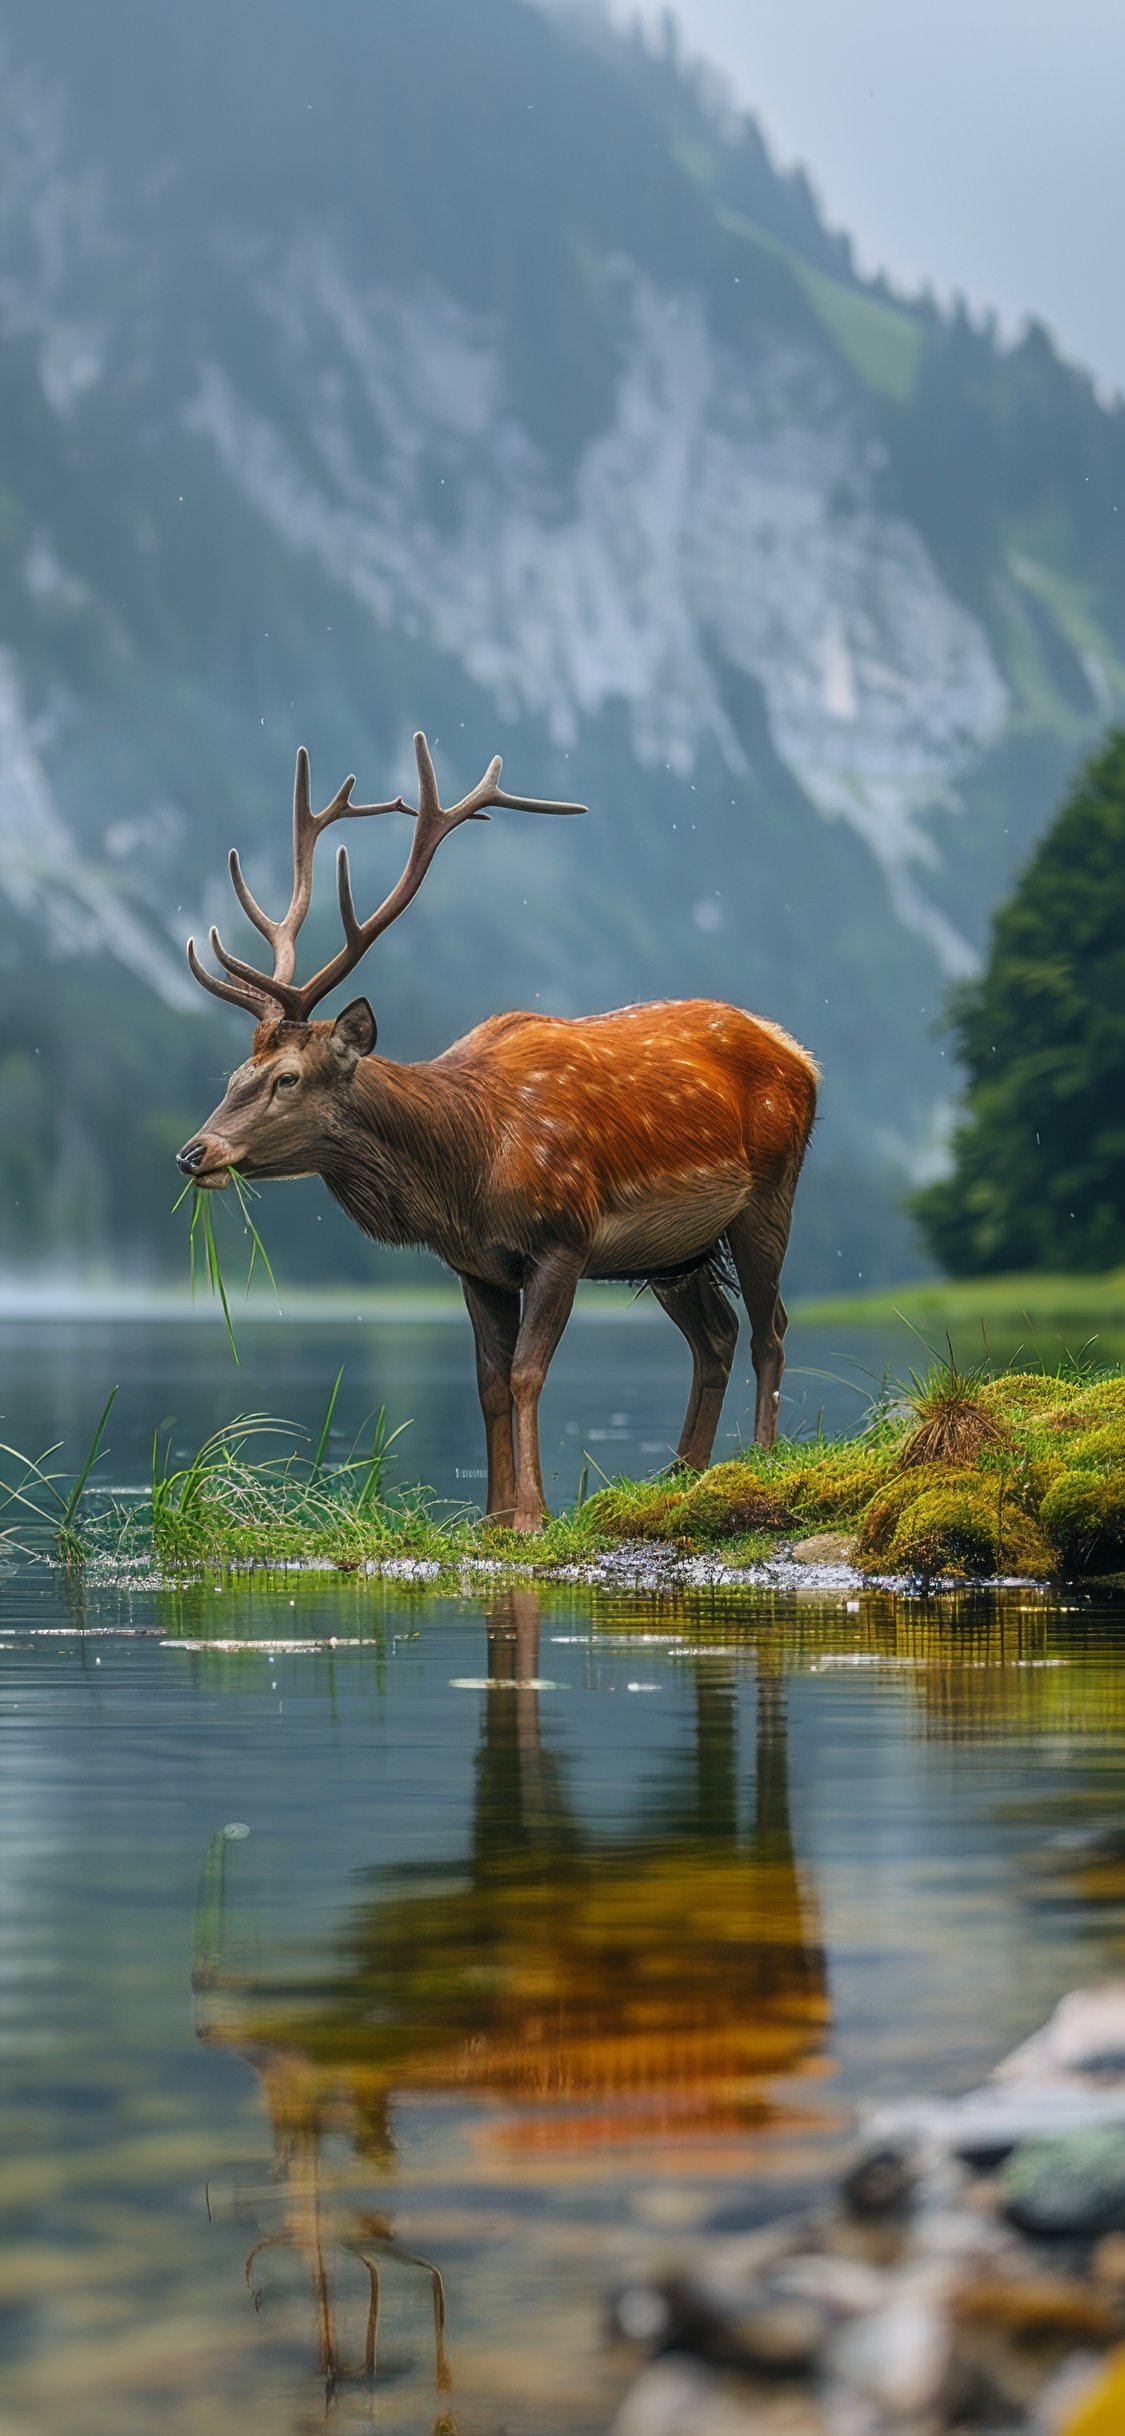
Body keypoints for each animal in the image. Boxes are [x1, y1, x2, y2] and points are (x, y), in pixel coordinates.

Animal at [177, 732, 818, 1531]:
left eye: (287, 1078)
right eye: (235, 1073)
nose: (194, 1152)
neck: (467, 1169)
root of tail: (801, 1056)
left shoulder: (563, 1238)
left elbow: (526, 1372)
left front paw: (533, 1514)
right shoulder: (474, 1265)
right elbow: (485, 1384)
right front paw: (490, 1515)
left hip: (770, 1193)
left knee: (770, 1327)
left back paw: (758, 1460)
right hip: (678, 1250)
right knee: (718, 1335)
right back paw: (682, 1473)